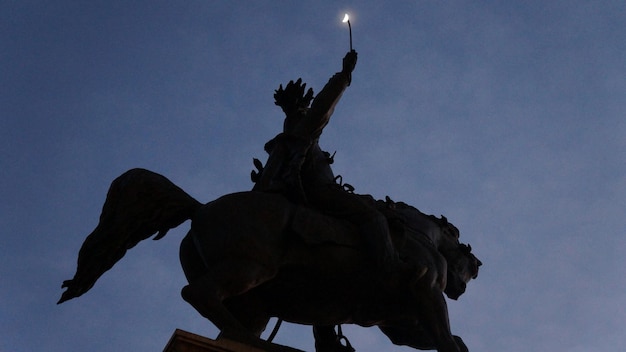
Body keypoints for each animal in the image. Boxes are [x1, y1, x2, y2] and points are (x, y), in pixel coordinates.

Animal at [58, 169, 478, 350]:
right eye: (464, 253)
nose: (472, 273)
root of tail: (199, 209)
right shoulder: (426, 294)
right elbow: (446, 337)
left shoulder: (396, 321)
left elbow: (440, 339)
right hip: (250, 268)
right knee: (198, 294)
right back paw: (250, 341)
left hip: (254, 301)